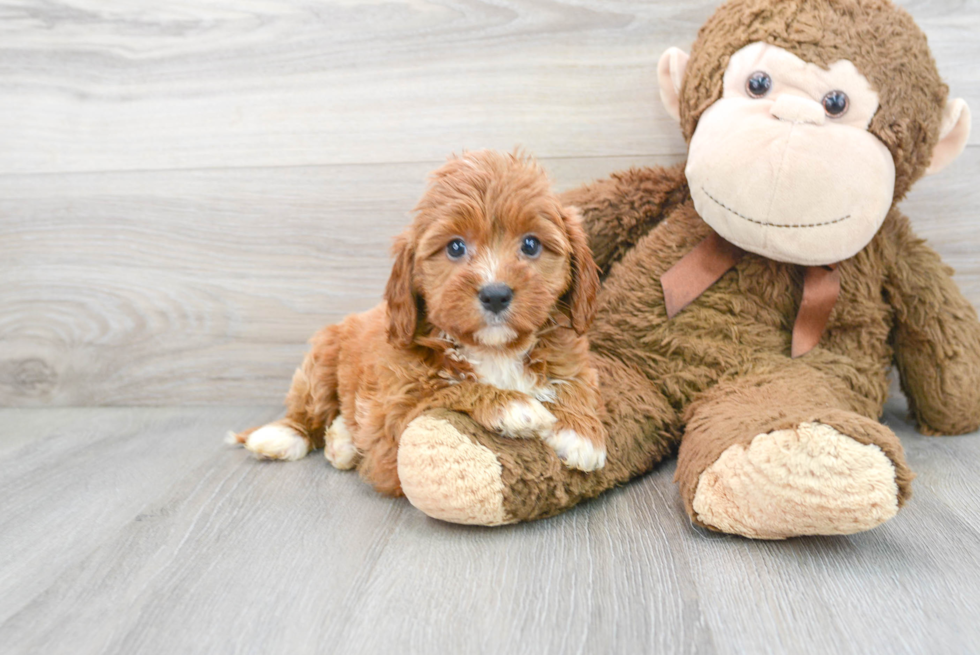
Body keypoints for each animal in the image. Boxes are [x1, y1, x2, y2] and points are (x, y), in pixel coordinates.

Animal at [230, 150, 604, 498]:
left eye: (530, 244)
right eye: (455, 247)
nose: (495, 294)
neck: (494, 350)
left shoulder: (572, 359)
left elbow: (575, 383)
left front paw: (581, 432)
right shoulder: (394, 417)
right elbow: (448, 389)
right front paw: (513, 406)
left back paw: (342, 440)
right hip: (323, 356)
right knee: (311, 406)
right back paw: (284, 435)